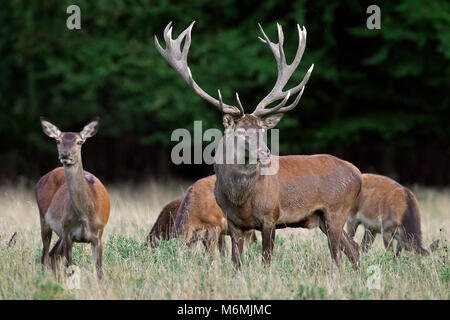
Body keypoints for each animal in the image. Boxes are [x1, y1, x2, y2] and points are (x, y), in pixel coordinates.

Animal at [34, 117, 109, 278]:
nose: (65, 154)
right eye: (58, 140)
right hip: (45, 219)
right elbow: (69, 268)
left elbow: (99, 271)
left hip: (60, 231)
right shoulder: (68, 232)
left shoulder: (99, 234)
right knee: (45, 255)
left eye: (80, 142)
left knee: (53, 254)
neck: (87, 215)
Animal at [156, 21, 362, 268]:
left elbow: (266, 259)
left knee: (338, 255)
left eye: (263, 130)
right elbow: (235, 262)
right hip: (323, 218)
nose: (265, 152)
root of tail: (358, 174)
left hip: (336, 210)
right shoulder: (233, 222)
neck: (240, 200)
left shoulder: (270, 216)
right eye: (241, 131)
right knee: (354, 249)